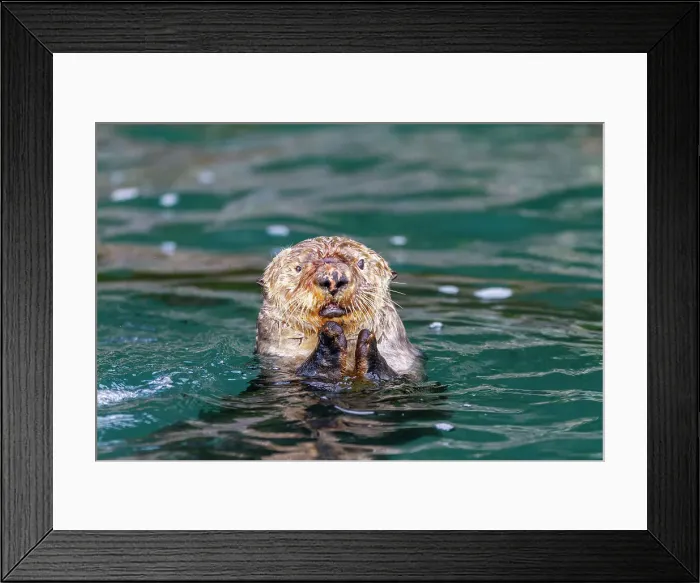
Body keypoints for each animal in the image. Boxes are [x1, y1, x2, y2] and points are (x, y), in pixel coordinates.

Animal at [255, 236, 423, 382]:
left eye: (361, 263)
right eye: (298, 268)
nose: (333, 278)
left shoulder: (402, 361)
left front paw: (367, 341)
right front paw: (331, 338)